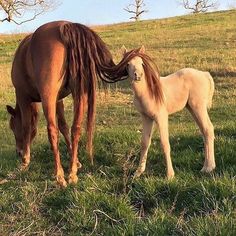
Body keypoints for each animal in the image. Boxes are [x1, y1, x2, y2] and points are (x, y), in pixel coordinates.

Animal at [6, 21, 129, 188]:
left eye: (12, 127)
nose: (18, 152)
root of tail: (66, 26)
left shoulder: (23, 96)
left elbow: (27, 127)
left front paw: (25, 161)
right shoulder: (58, 100)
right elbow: (64, 126)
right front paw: (75, 161)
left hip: (49, 96)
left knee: (52, 130)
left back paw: (60, 176)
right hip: (79, 93)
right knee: (75, 128)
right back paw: (72, 174)